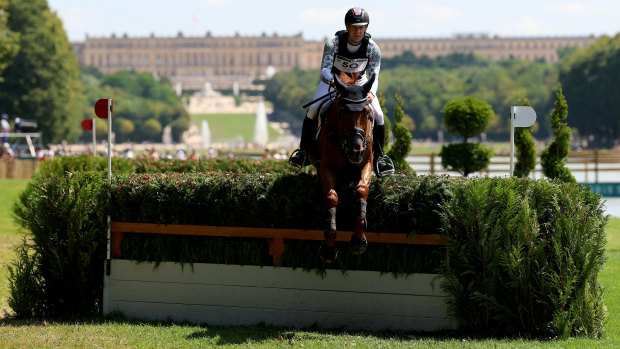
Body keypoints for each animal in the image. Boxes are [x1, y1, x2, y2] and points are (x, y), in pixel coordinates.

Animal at [308, 72, 376, 260]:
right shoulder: (327, 168)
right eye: (341, 111)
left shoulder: (367, 163)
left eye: (367, 112)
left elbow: (362, 190)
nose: (356, 150)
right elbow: (332, 197)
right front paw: (329, 246)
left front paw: (359, 240)